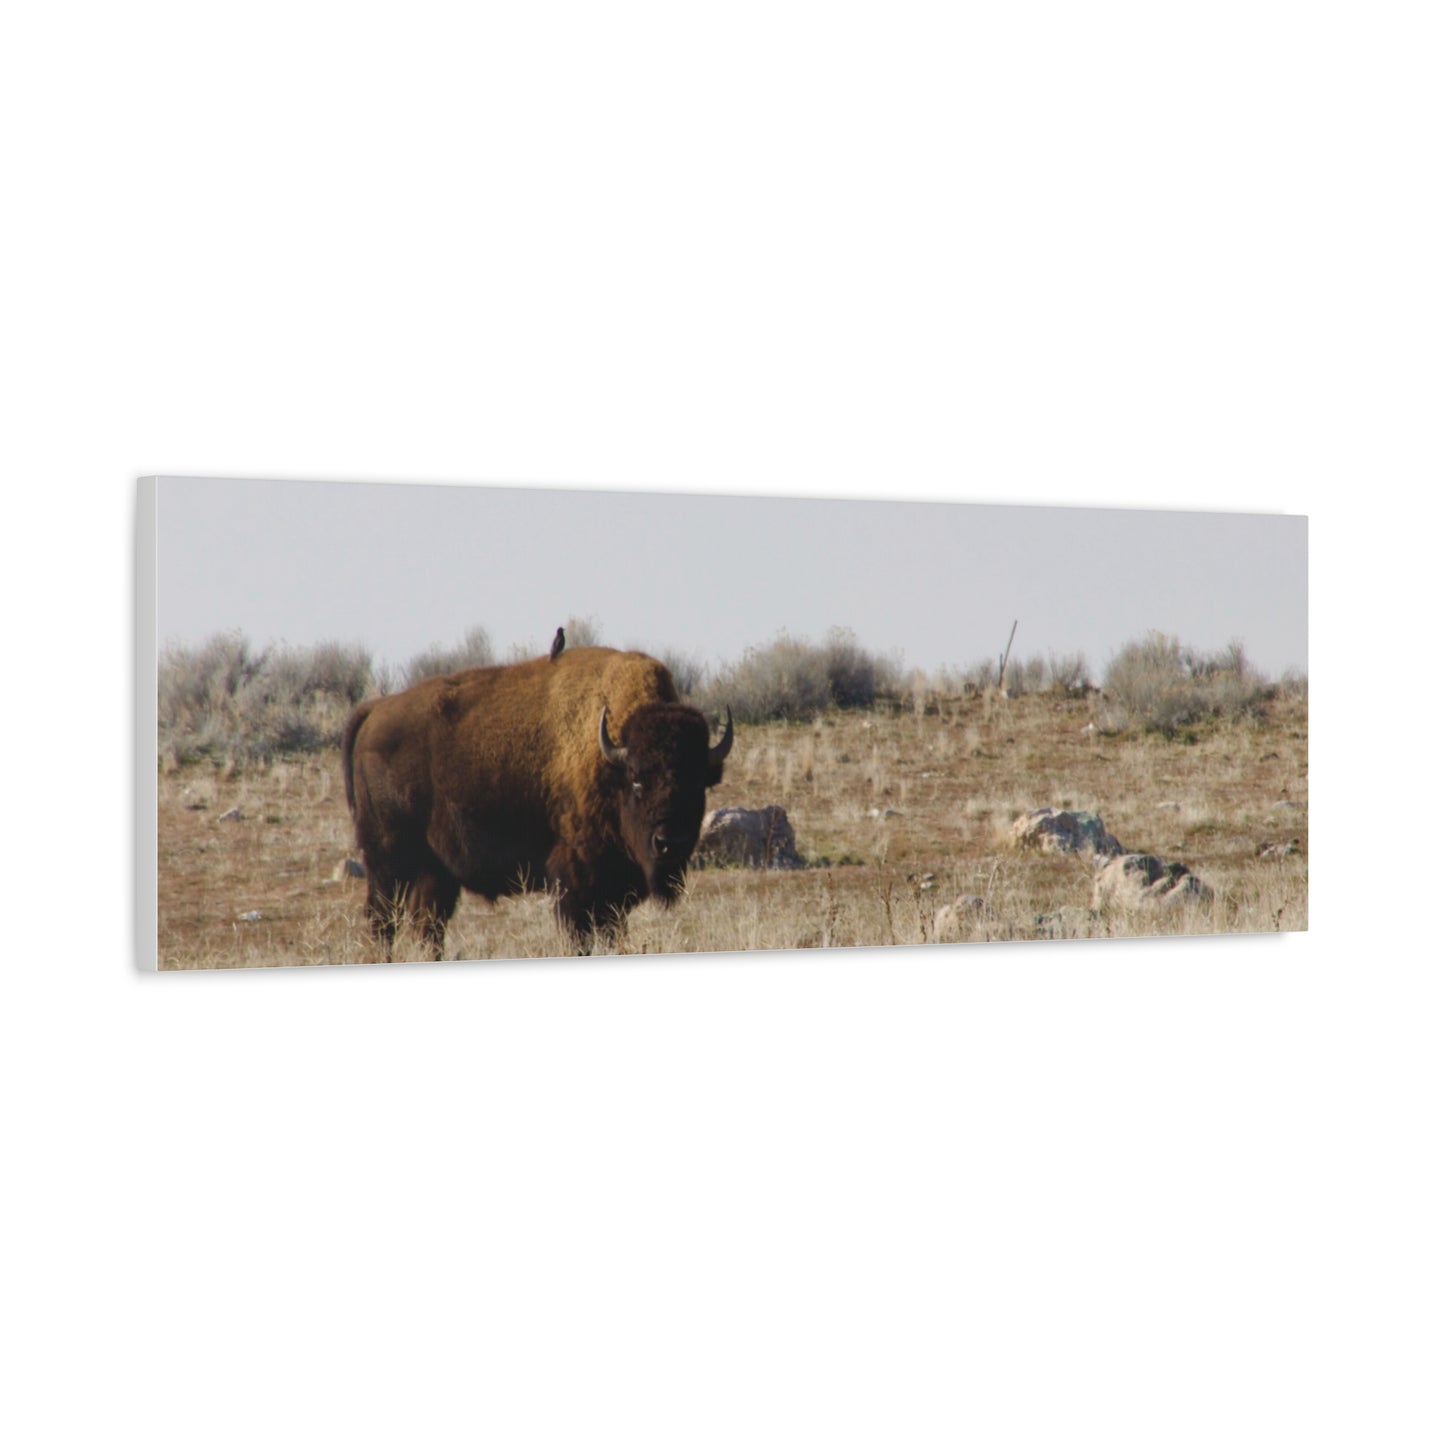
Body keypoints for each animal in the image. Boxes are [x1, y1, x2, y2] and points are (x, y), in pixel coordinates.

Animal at [341, 647, 733, 958]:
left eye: (698, 784)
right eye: (637, 780)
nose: (670, 843)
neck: (609, 762)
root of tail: (374, 710)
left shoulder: (615, 892)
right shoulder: (576, 883)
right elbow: (579, 936)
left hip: (434, 871)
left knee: (426, 925)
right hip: (387, 860)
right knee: (383, 921)